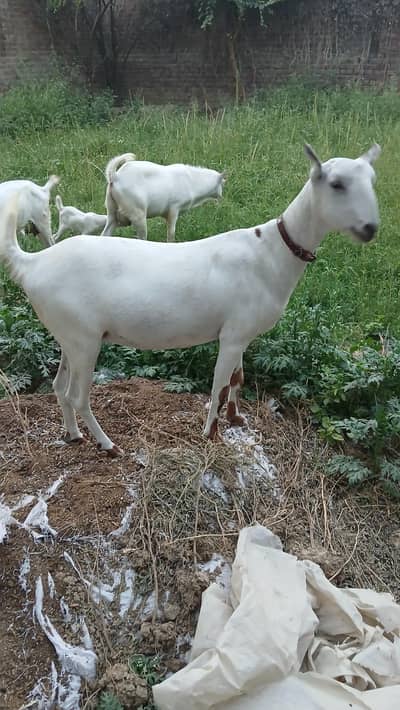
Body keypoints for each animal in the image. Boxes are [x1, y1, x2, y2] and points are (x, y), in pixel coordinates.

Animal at [0, 143, 380, 456]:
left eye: (371, 179)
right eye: (336, 184)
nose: (370, 228)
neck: (270, 250)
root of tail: (31, 265)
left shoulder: (241, 333)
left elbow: (238, 379)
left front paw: (237, 420)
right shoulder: (232, 335)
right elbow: (220, 384)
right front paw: (210, 434)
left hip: (70, 333)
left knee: (59, 388)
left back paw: (74, 435)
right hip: (84, 339)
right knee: (78, 396)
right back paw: (108, 445)